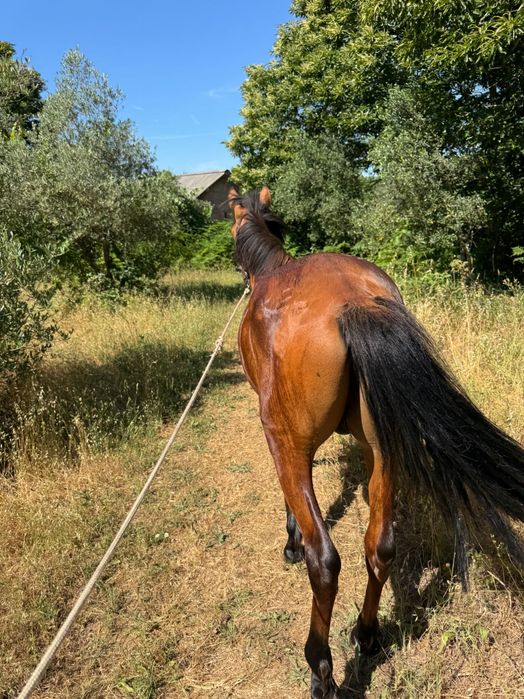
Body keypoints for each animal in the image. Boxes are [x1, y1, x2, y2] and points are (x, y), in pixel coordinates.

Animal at [227, 186, 524, 699]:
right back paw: (367, 634)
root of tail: (355, 301)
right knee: (381, 546)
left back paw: (321, 667)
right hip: (383, 453)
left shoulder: (281, 442)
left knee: (325, 562)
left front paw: (289, 542)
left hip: (295, 445)